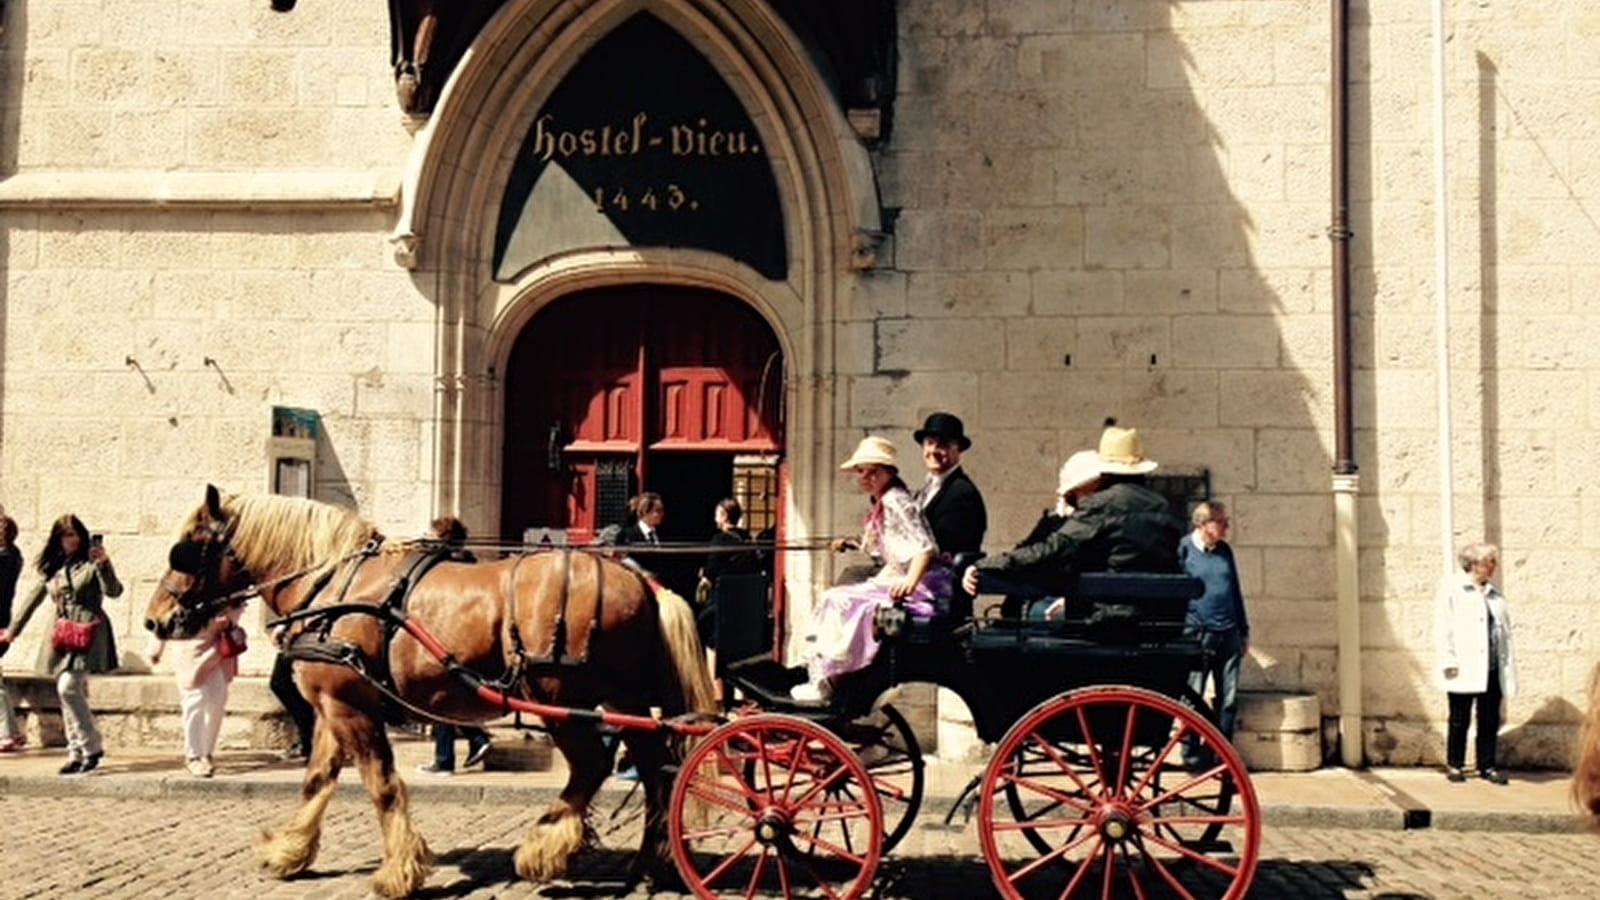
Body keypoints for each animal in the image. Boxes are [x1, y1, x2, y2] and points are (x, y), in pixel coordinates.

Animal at [140, 486, 716, 890]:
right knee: (655, 767)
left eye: (185, 550)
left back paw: (543, 847)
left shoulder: (349, 707)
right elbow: (317, 780)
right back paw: (651, 863)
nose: (154, 619)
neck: (332, 586)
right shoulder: (330, 706)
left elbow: (382, 785)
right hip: (621, 698)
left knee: (594, 765)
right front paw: (290, 851)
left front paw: (399, 870)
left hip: (560, 698)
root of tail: (643, 581)